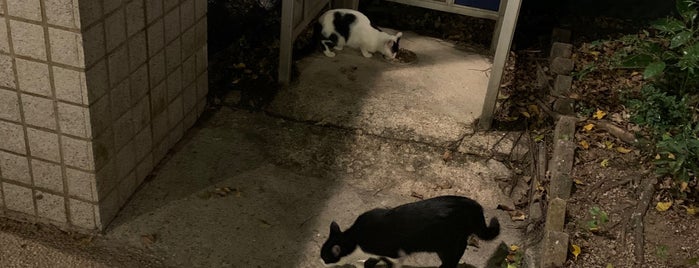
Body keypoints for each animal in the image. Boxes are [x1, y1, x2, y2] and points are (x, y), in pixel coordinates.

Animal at [320, 195, 500, 268]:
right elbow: (369, 262)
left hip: (446, 244)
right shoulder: (377, 255)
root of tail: (474, 205)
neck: (356, 238)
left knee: (453, 258)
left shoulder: (394, 254)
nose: (321, 261)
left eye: (325, 258)